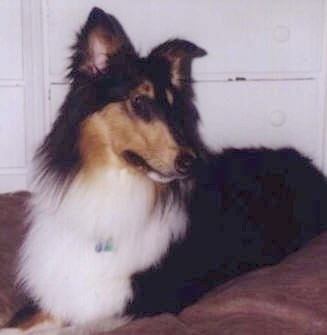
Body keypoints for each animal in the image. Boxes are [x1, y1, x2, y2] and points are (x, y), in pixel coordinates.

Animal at [2, 5, 327, 335]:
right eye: (139, 100)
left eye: (172, 106)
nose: (190, 162)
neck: (115, 187)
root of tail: (307, 164)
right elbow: (18, 322)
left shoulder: (142, 303)